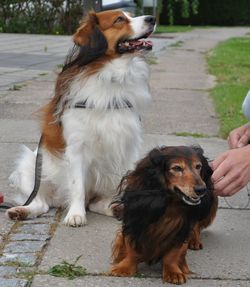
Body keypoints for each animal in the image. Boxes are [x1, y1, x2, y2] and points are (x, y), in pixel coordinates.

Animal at [6, 10, 155, 227]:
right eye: (119, 19)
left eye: (131, 15)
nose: (152, 18)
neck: (110, 76)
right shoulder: (77, 147)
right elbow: (77, 186)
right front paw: (76, 214)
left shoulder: (129, 145)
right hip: (31, 166)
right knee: (41, 203)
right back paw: (22, 211)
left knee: (97, 203)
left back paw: (114, 208)